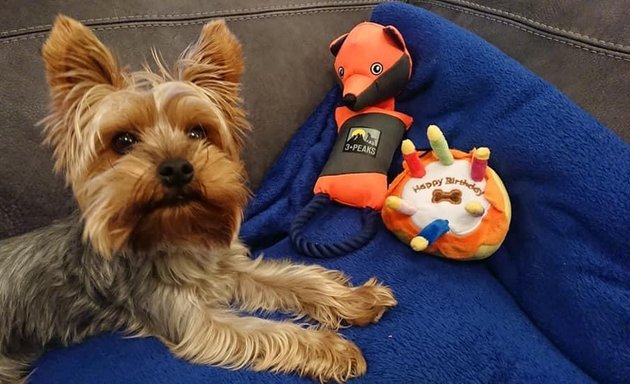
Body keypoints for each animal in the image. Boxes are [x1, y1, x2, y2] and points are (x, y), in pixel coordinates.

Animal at [0, 15, 396, 384]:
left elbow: (294, 278)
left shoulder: (226, 267)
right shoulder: (192, 322)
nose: (176, 167)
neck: (177, 233)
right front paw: (333, 348)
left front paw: (356, 299)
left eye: (197, 132)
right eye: (123, 141)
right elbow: (267, 331)